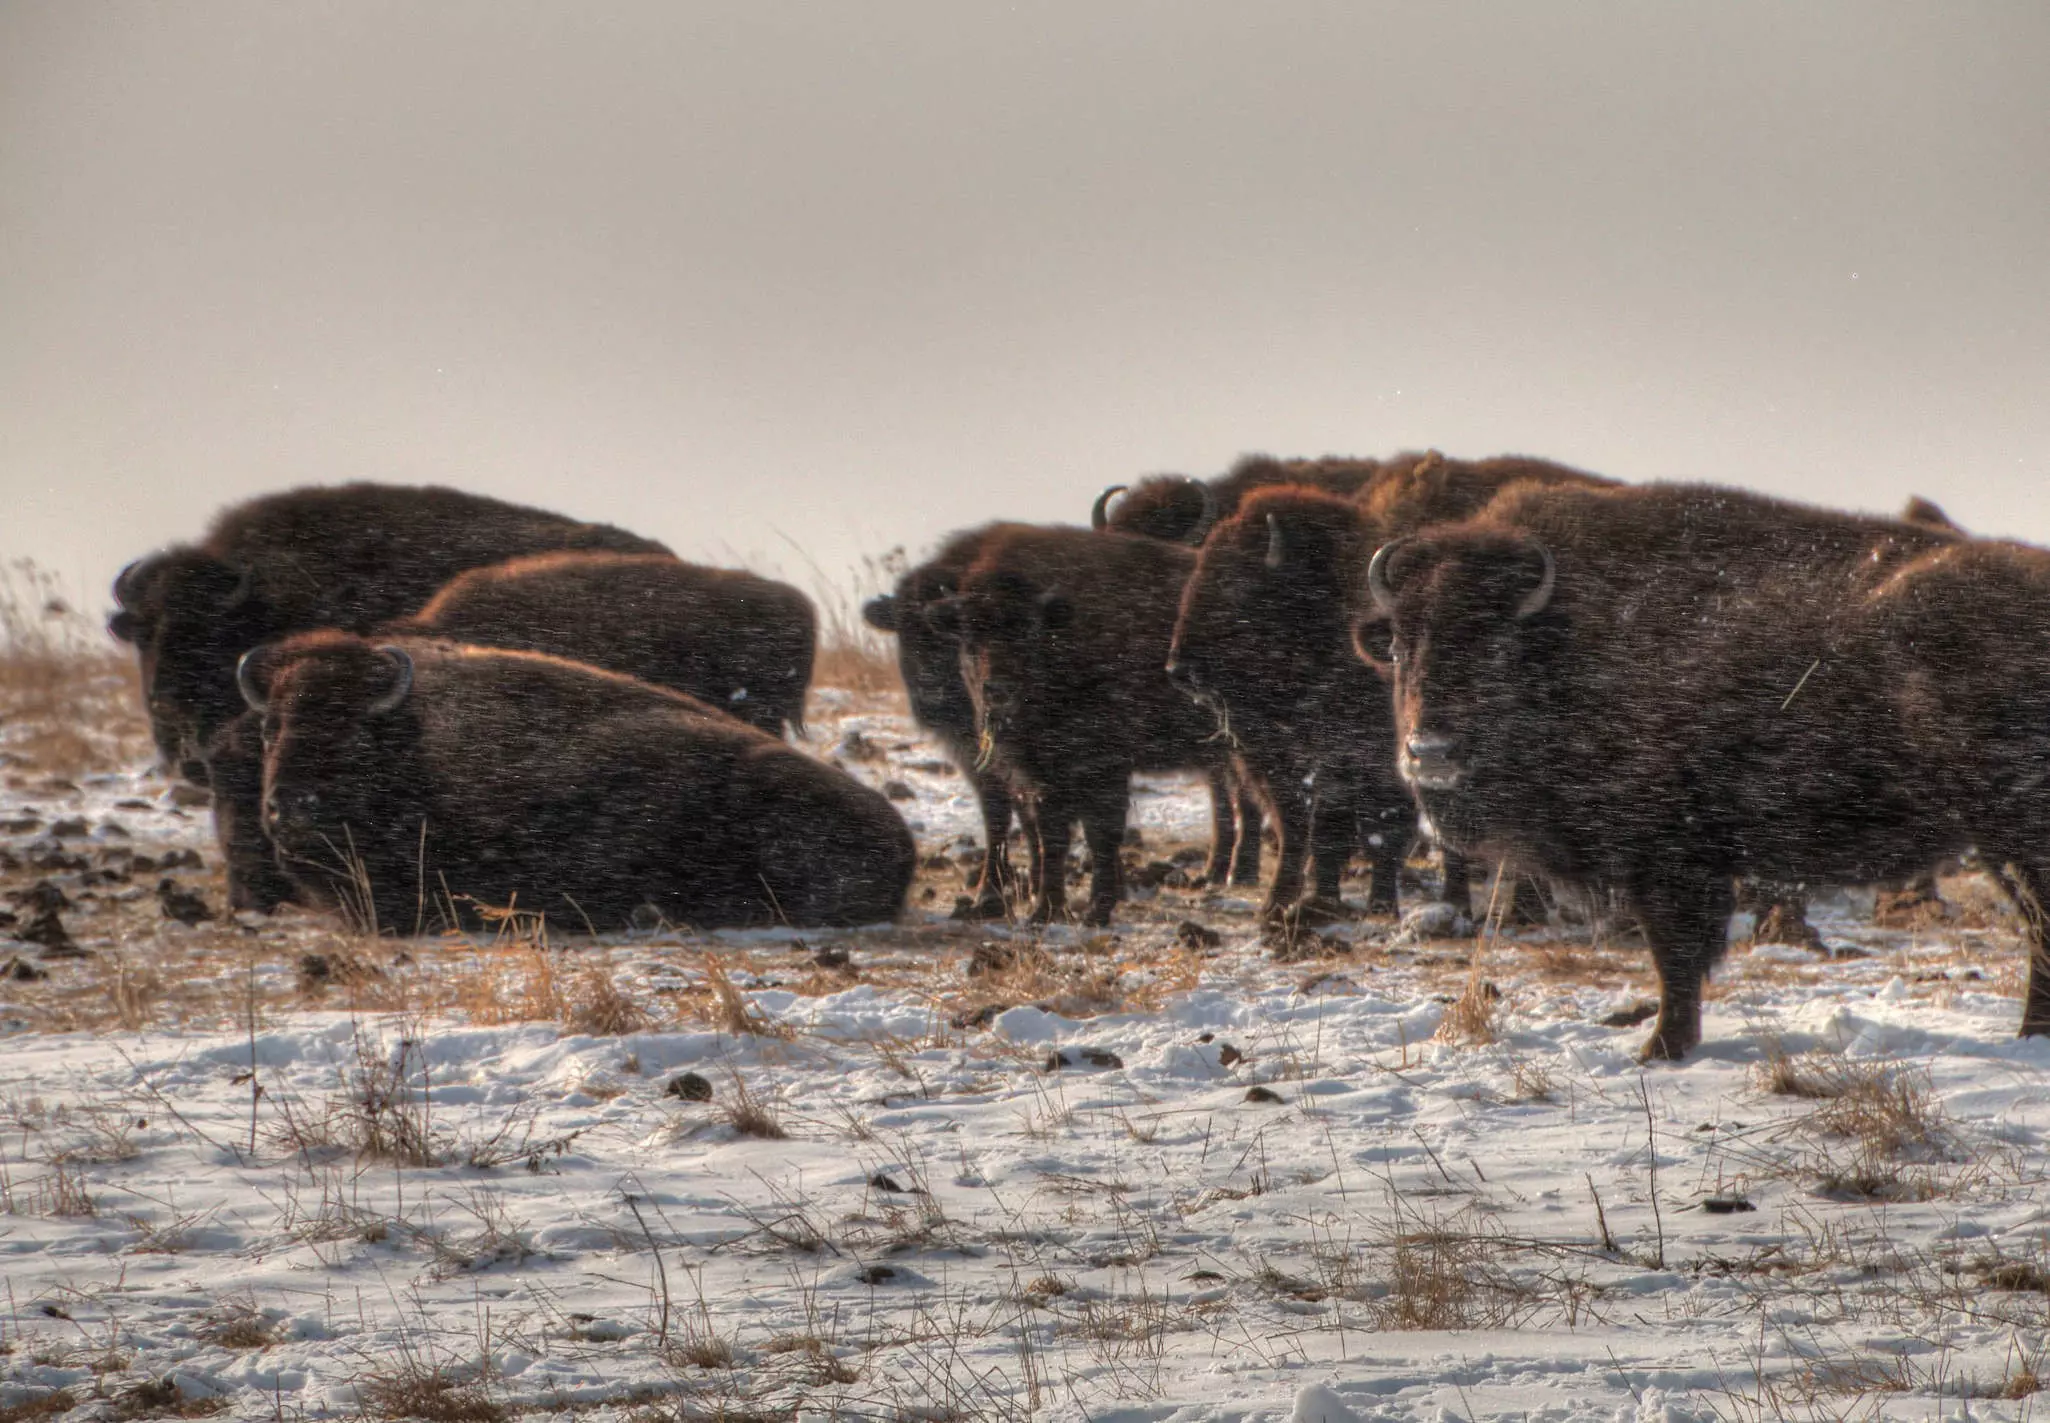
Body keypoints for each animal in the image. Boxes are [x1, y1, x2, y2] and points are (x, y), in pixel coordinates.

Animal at [1363, 481, 1975, 1060]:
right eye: (1396, 647)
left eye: (1497, 648)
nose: (1430, 752)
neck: (1569, 639)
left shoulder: (1669, 864)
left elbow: (1675, 955)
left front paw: (1660, 1047)